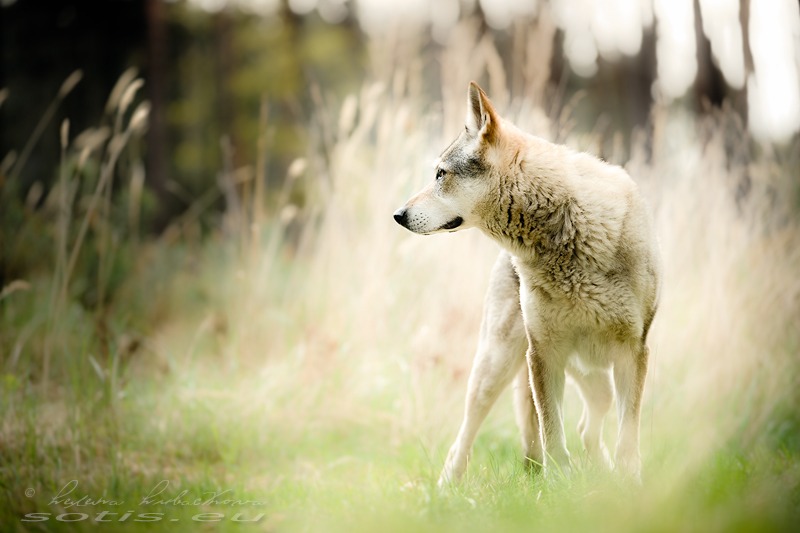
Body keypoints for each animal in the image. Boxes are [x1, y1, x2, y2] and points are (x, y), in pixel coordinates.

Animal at [390, 81, 660, 484]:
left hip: (595, 378)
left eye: (440, 174)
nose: (397, 214)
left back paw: (602, 476)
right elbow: (551, 433)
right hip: (497, 366)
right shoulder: (543, 353)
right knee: (465, 439)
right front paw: (558, 484)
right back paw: (447, 487)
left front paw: (629, 484)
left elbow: (627, 436)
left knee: (587, 427)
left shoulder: (633, 352)